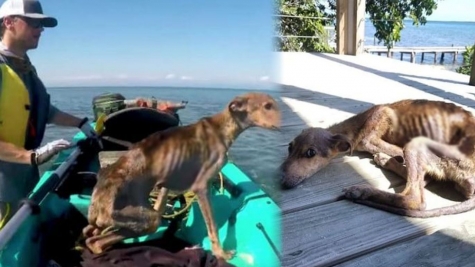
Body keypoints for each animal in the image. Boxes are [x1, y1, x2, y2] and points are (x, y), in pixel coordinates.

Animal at [82, 92, 282, 262]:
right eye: (267, 106)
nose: (283, 125)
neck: (222, 127)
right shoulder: (201, 187)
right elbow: (213, 227)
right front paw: (221, 254)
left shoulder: (168, 181)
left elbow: (162, 202)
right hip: (145, 219)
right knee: (97, 242)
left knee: (93, 238)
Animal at [280, 99, 475, 219]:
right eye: (289, 147)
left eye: (310, 153)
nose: (282, 181)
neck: (357, 124)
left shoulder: (371, 134)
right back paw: (385, 161)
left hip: (415, 145)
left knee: (414, 198)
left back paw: (363, 188)